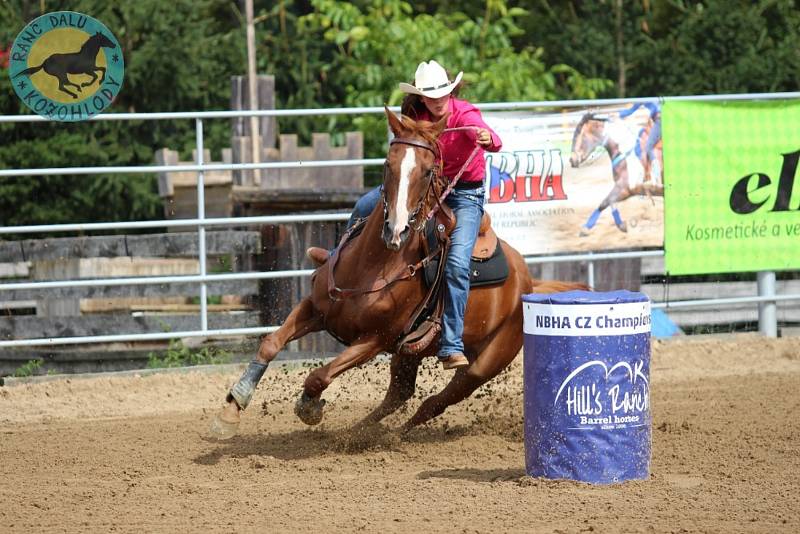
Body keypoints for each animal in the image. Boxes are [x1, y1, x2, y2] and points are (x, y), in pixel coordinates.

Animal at [211, 108, 588, 440]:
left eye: (427, 171)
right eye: (387, 164)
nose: (397, 230)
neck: (371, 268)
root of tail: (528, 279)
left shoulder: (374, 340)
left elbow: (318, 376)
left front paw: (309, 407)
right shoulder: (315, 309)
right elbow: (271, 344)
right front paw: (232, 407)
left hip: (485, 364)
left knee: (433, 402)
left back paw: (394, 435)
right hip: (409, 355)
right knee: (400, 394)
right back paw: (359, 432)